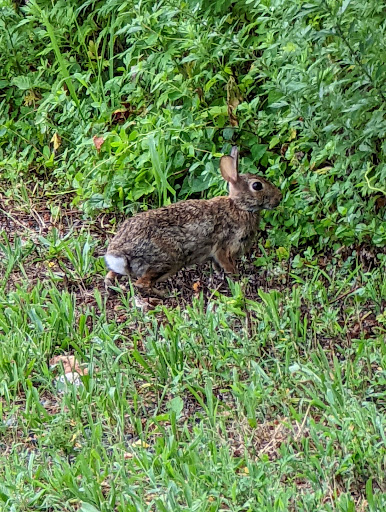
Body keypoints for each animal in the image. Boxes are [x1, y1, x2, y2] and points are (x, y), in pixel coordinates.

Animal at [104, 146, 282, 296]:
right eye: (257, 186)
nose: (279, 198)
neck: (239, 206)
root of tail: (118, 255)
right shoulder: (225, 247)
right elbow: (227, 264)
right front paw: (237, 277)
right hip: (167, 260)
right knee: (142, 284)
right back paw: (164, 295)